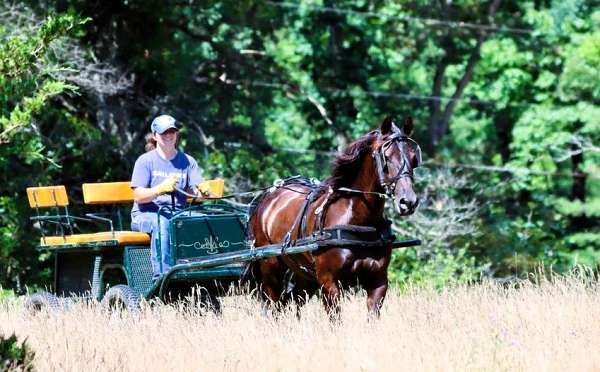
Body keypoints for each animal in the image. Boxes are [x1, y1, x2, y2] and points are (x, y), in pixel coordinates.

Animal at [246, 117, 420, 318]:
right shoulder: (329, 282)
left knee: (290, 302)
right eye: (387, 157)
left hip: (304, 276)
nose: (408, 202)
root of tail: (267, 198)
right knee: (274, 305)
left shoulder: (378, 281)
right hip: (271, 269)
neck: (357, 220)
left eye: (413, 158)